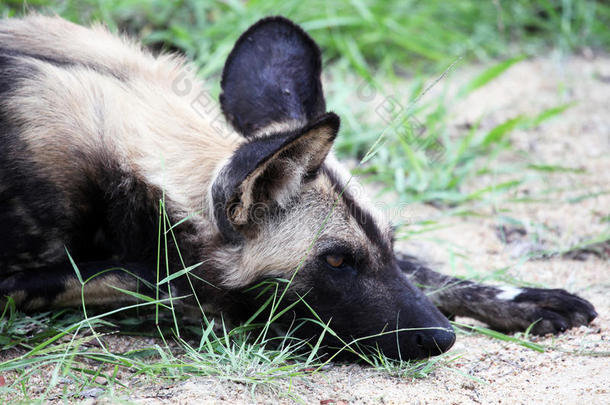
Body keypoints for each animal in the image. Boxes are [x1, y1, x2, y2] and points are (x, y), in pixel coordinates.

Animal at [0, 14, 592, 358]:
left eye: (390, 244)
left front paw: (522, 298)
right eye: (335, 262)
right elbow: (157, 279)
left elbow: (425, 271)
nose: (444, 337)